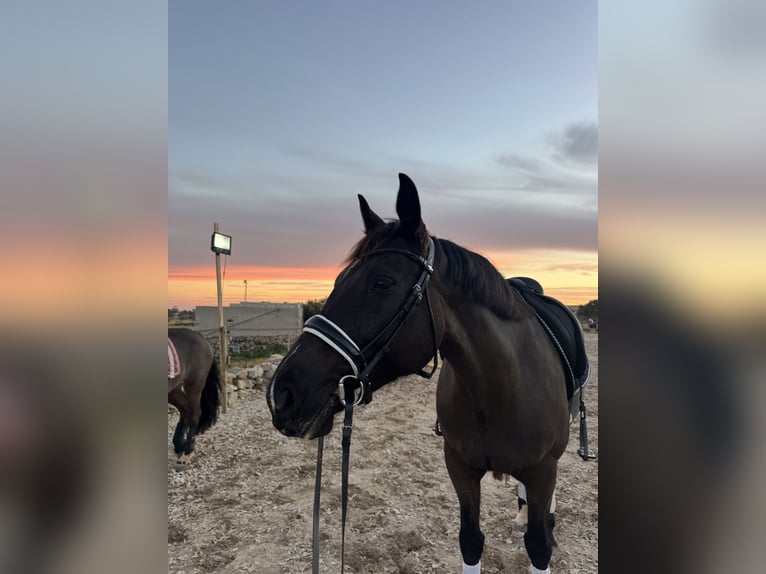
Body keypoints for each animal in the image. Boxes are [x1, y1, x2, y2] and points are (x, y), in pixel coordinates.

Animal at [168, 328, 221, 465]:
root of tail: (201, 337)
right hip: (174, 388)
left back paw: (187, 451)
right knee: (185, 409)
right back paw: (179, 445)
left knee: (194, 413)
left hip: (194, 386)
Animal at [267, 173, 570, 573]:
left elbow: (538, 545)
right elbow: (470, 541)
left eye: (382, 282)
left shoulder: (541, 471)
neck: (498, 390)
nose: (281, 394)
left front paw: (543, 528)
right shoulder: (459, 467)